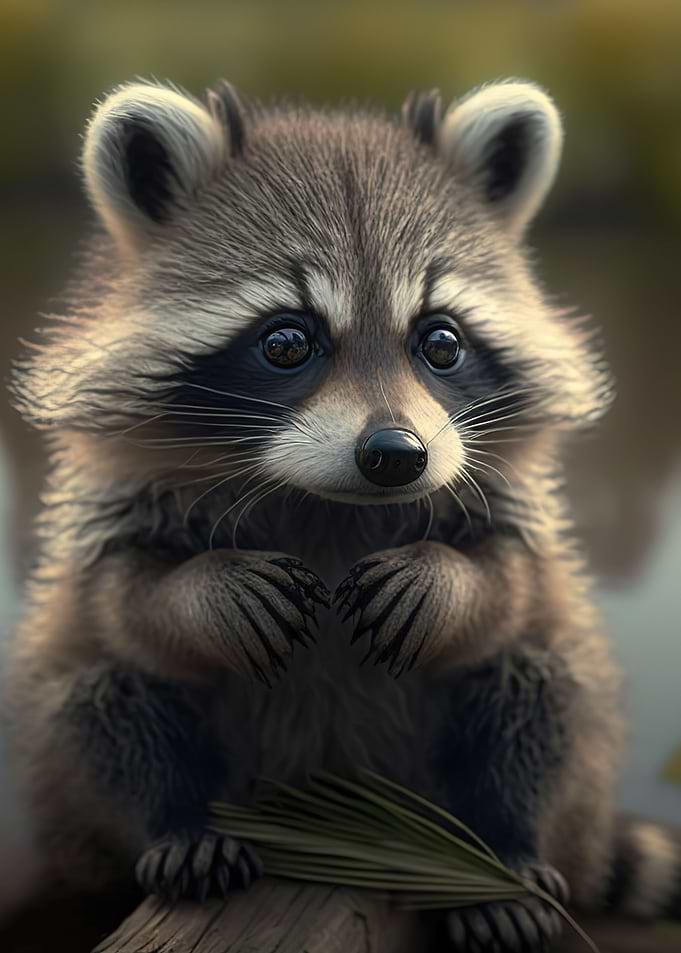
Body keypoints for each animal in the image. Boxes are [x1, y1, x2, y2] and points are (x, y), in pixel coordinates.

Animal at [5, 78, 681, 950]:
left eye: (440, 341)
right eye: (287, 340)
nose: (395, 455)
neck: (323, 500)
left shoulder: (509, 501)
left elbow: (509, 581)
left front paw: (442, 577)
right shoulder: (110, 505)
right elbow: (124, 597)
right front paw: (207, 585)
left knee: (541, 685)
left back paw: (501, 847)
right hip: (80, 778)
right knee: (96, 698)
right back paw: (176, 824)